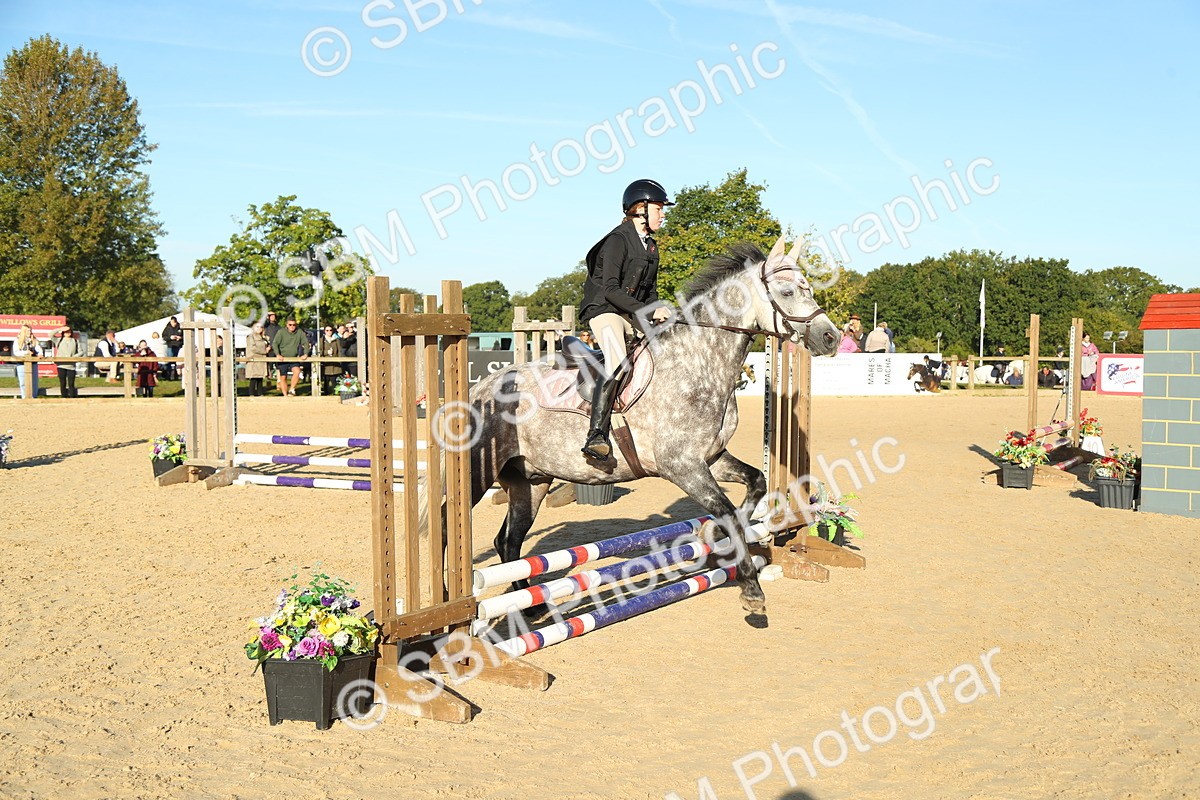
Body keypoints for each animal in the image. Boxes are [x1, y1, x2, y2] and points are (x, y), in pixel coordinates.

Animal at [462, 237, 840, 617]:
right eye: (788, 291)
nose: (831, 337)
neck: (699, 362)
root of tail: (479, 389)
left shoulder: (711, 458)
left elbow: (756, 484)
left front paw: (713, 538)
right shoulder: (681, 466)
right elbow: (730, 513)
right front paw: (751, 589)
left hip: (531, 481)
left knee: (508, 540)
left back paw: (529, 607)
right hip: (480, 476)